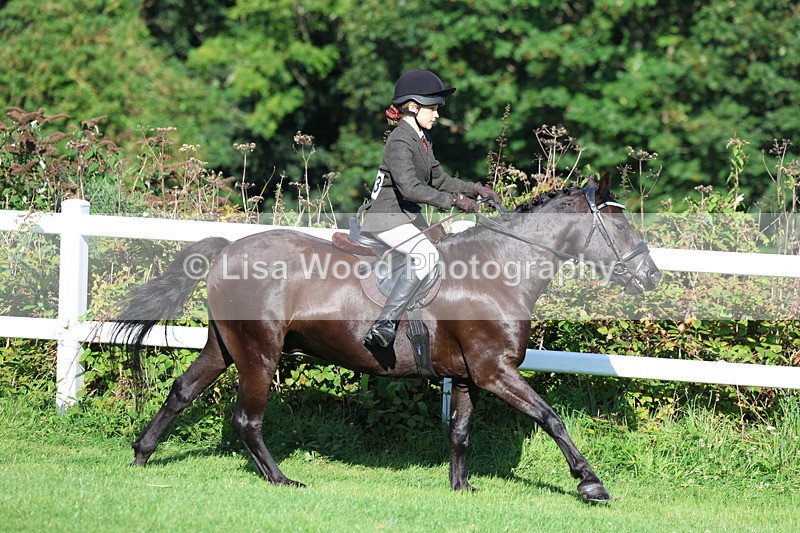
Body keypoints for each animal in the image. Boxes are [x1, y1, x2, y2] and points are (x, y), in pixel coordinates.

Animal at [112, 174, 661, 502]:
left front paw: (461, 487)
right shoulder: (496, 370)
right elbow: (551, 418)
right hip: (260, 353)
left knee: (182, 391)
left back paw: (141, 455)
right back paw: (283, 479)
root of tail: (227, 250)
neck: (500, 269)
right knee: (248, 419)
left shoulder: (469, 375)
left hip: (225, 346)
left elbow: (460, 432)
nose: (652, 277)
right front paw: (590, 483)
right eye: (622, 227)